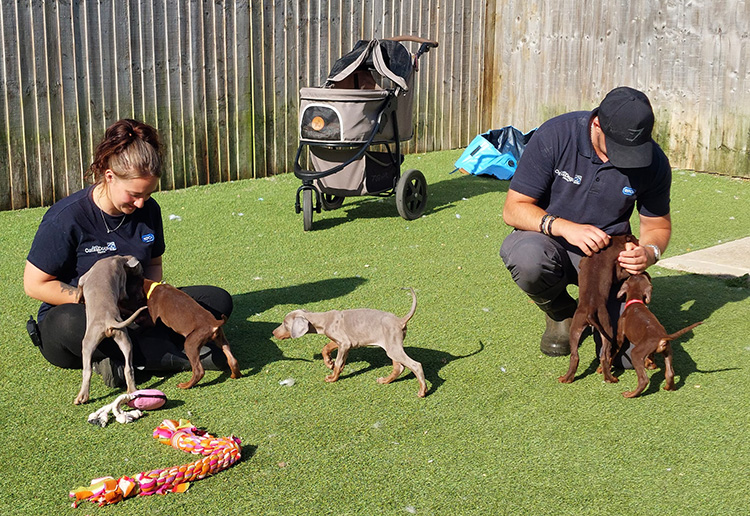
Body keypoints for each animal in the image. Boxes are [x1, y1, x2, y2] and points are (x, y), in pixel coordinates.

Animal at [75, 256, 147, 406]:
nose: (143, 275)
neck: (118, 258)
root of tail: (109, 321)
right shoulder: (122, 284)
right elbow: (123, 295)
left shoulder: (83, 278)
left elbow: (79, 287)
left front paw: (78, 299)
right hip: (123, 337)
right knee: (128, 367)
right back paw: (131, 391)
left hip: (88, 341)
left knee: (87, 371)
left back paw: (82, 397)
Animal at [274, 288, 428, 398]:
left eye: (285, 323)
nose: (274, 332)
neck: (324, 320)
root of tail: (400, 320)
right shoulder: (345, 343)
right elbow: (327, 349)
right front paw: (329, 363)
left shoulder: (345, 343)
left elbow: (338, 363)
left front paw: (333, 377)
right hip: (392, 347)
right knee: (399, 368)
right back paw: (385, 381)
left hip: (393, 348)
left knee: (416, 365)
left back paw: (422, 391)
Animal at [560, 234, 640, 382]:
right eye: (635, 239)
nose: (640, 242)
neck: (615, 240)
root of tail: (590, 312)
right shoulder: (617, 270)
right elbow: (623, 273)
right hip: (606, 327)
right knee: (604, 356)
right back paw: (611, 379)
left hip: (576, 327)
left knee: (575, 356)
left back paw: (566, 378)